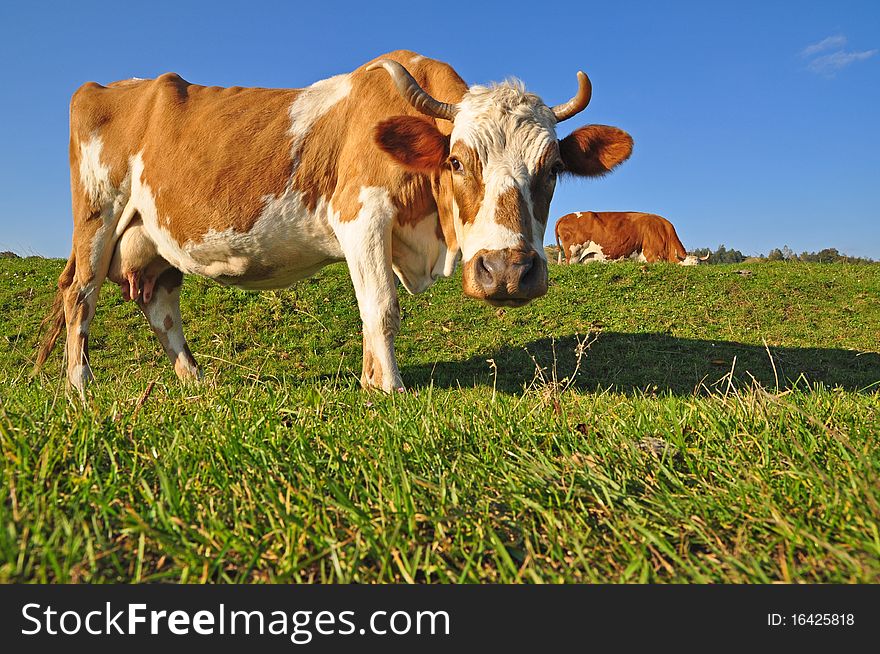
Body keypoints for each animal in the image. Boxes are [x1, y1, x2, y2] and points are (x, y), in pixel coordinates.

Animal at [34, 50, 632, 394]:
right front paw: (389, 388)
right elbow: (382, 307)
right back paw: (80, 386)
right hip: (97, 218)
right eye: (458, 161)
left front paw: (369, 382)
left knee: (160, 307)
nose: (507, 271)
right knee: (79, 295)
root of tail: (108, 86)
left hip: (153, 239)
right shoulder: (360, 215)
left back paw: (196, 381)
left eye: (552, 168)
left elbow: (371, 311)